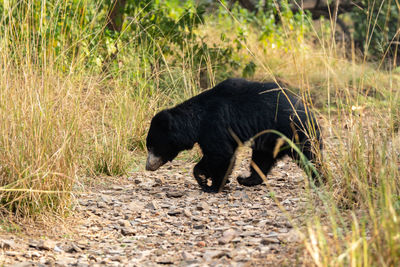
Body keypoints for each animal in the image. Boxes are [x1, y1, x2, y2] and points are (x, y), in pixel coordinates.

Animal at [145, 78, 320, 194]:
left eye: (152, 146)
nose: (148, 166)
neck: (197, 121)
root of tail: (310, 112)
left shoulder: (216, 125)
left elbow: (221, 155)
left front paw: (214, 186)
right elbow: (211, 157)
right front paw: (202, 177)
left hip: (295, 132)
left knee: (309, 155)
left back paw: (319, 178)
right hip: (270, 139)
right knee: (262, 159)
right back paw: (246, 179)